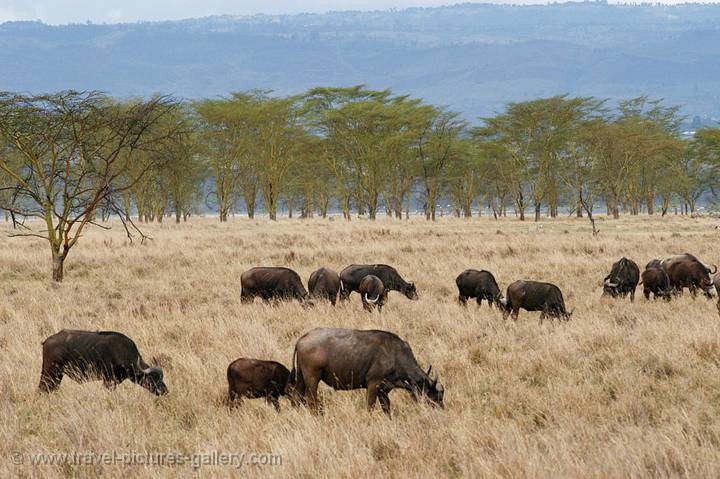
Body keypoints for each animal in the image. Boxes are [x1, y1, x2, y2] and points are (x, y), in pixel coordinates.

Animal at [39, 330, 169, 398]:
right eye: (153, 378)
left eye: (161, 378)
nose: (165, 391)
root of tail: (47, 341)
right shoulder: (108, 381)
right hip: (51, 373)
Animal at [290, 328, 442, 414]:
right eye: (435, 395)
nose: (441, 408)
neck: (396, 354)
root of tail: (302, 339)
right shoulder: (373, 385)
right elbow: (370, 407)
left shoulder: (384, 390)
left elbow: (387, 408)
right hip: (312, 379)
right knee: (311, 400)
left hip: (302, 378)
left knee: (297, 397)